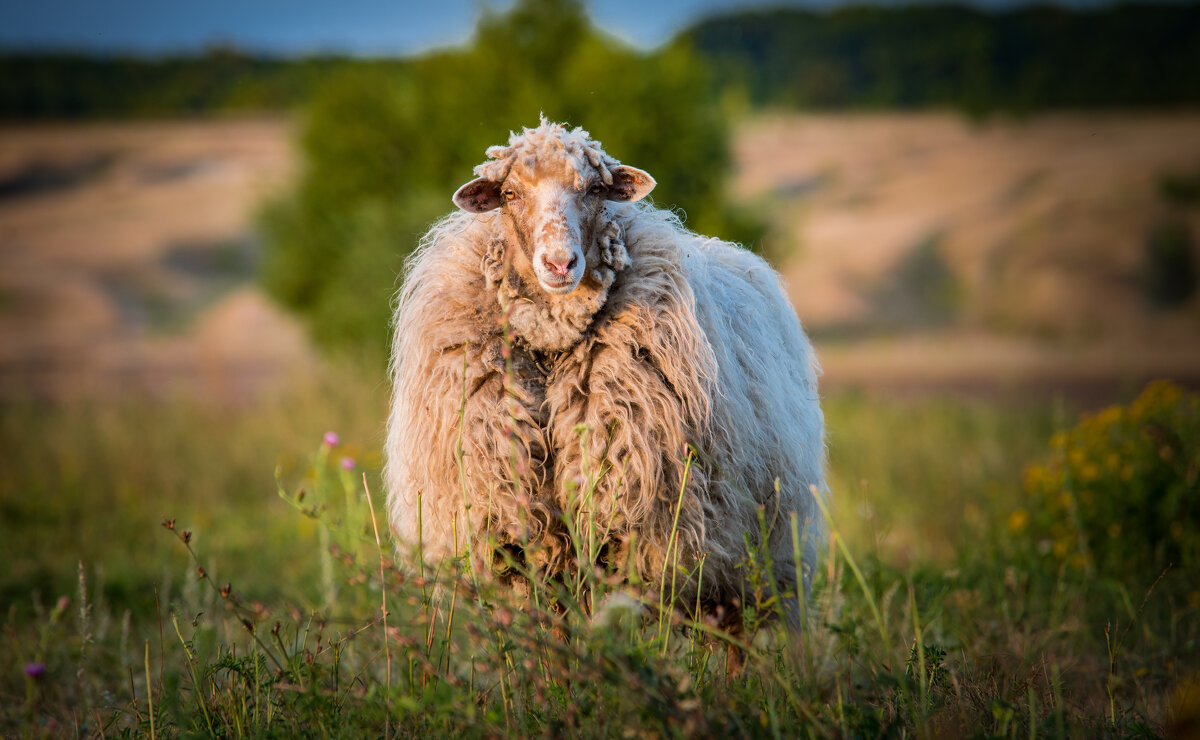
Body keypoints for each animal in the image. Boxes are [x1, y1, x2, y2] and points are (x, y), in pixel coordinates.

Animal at [384, 116, 825, 642]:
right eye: (510, 194)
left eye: (595, 189)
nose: (559, 264)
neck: (552, 343)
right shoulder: (516, 538)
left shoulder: (628, 534)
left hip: (757, 557)